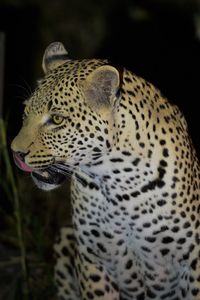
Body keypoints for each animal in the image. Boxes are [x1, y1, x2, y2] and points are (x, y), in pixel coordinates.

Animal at [11, 42, 200, 300]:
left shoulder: (193, 261)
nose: (15, 153)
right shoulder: (94, 259)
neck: (118, 184)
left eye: (57, 119)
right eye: (26, 112)